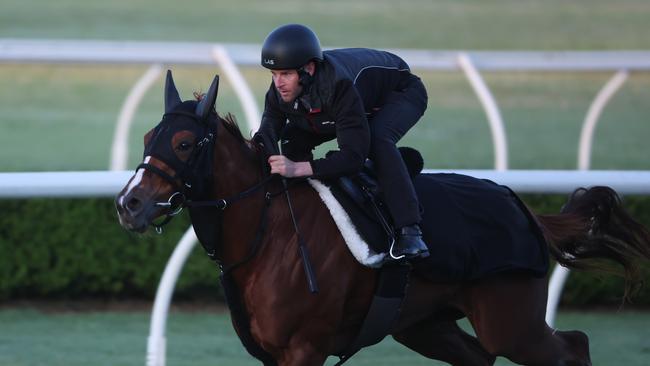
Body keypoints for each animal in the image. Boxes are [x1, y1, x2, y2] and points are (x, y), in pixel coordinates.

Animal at [116, 72, 648, 366]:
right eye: (146, 138)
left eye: (185, 143)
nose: (129, 204)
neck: (269, 235)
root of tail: (523, 210)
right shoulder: (271, 354)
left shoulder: (305, 348)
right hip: (424, 324)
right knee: (480, 357)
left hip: (511, 321)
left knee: (574, 345)